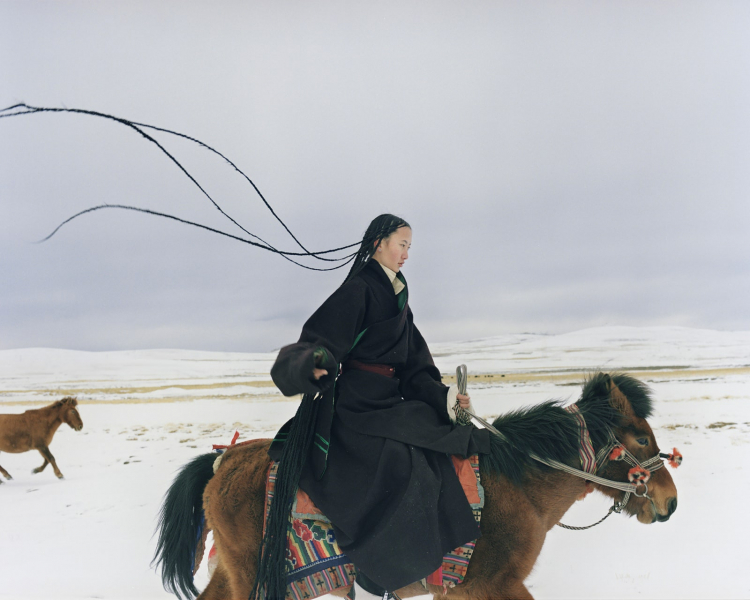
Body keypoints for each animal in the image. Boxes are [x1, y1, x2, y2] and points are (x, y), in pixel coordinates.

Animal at [154, 372, 680, 596]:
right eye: (640, 436)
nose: (670, 501)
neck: (519, 487)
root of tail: (223, 460)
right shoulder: (488, 586)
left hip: (232, 571)